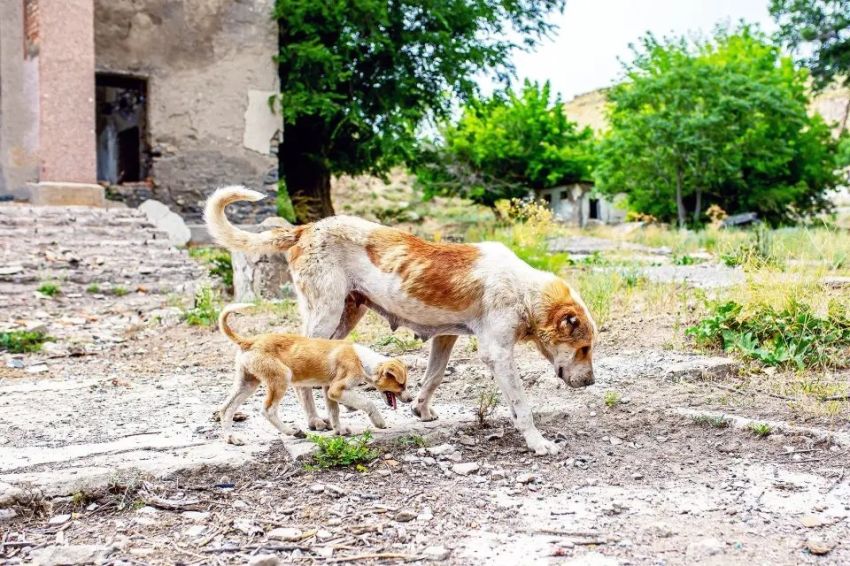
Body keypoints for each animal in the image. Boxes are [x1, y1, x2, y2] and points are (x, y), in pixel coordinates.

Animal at [215, 304, 408, 446]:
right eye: (401, 385)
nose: (410, 399)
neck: (361, 359)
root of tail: (250, 341)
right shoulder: (336, 389)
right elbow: (368, 402)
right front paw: (378, 421)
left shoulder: (329, 390)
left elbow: (334, 412)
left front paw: (339, 431)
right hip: (281, 377)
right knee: (268, 410)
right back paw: (293, 431)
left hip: (247, 383)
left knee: (226, 409)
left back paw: (231, 438)